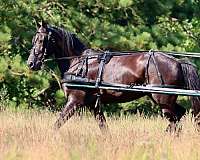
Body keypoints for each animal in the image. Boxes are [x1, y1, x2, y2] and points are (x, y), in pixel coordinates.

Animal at [27, 20, 200, 132]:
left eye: (42, 40)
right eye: (33, 39)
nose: (31, 63)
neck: (78, 62)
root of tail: (177, 62)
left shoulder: (74, 101)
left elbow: (57, 124)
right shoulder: (94, 105)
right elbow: (104, 128)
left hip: (163, 99)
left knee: (176, 120)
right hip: (163, 99)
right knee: (179, 117)